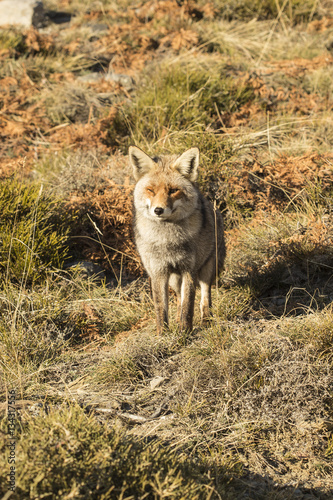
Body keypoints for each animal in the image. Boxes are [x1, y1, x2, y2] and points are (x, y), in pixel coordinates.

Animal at [128, 145, 224, 334]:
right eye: (151, 190)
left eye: (173, 190)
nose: (158, 210)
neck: (167, 241)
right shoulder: (157, 271)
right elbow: (161, 308)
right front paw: (163, 335)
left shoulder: (189, 269)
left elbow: (188, 305)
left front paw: (185, 332)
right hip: (173, 279)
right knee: (179, 298)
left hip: (206, 269)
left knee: (205, 297)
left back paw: (206, 321)